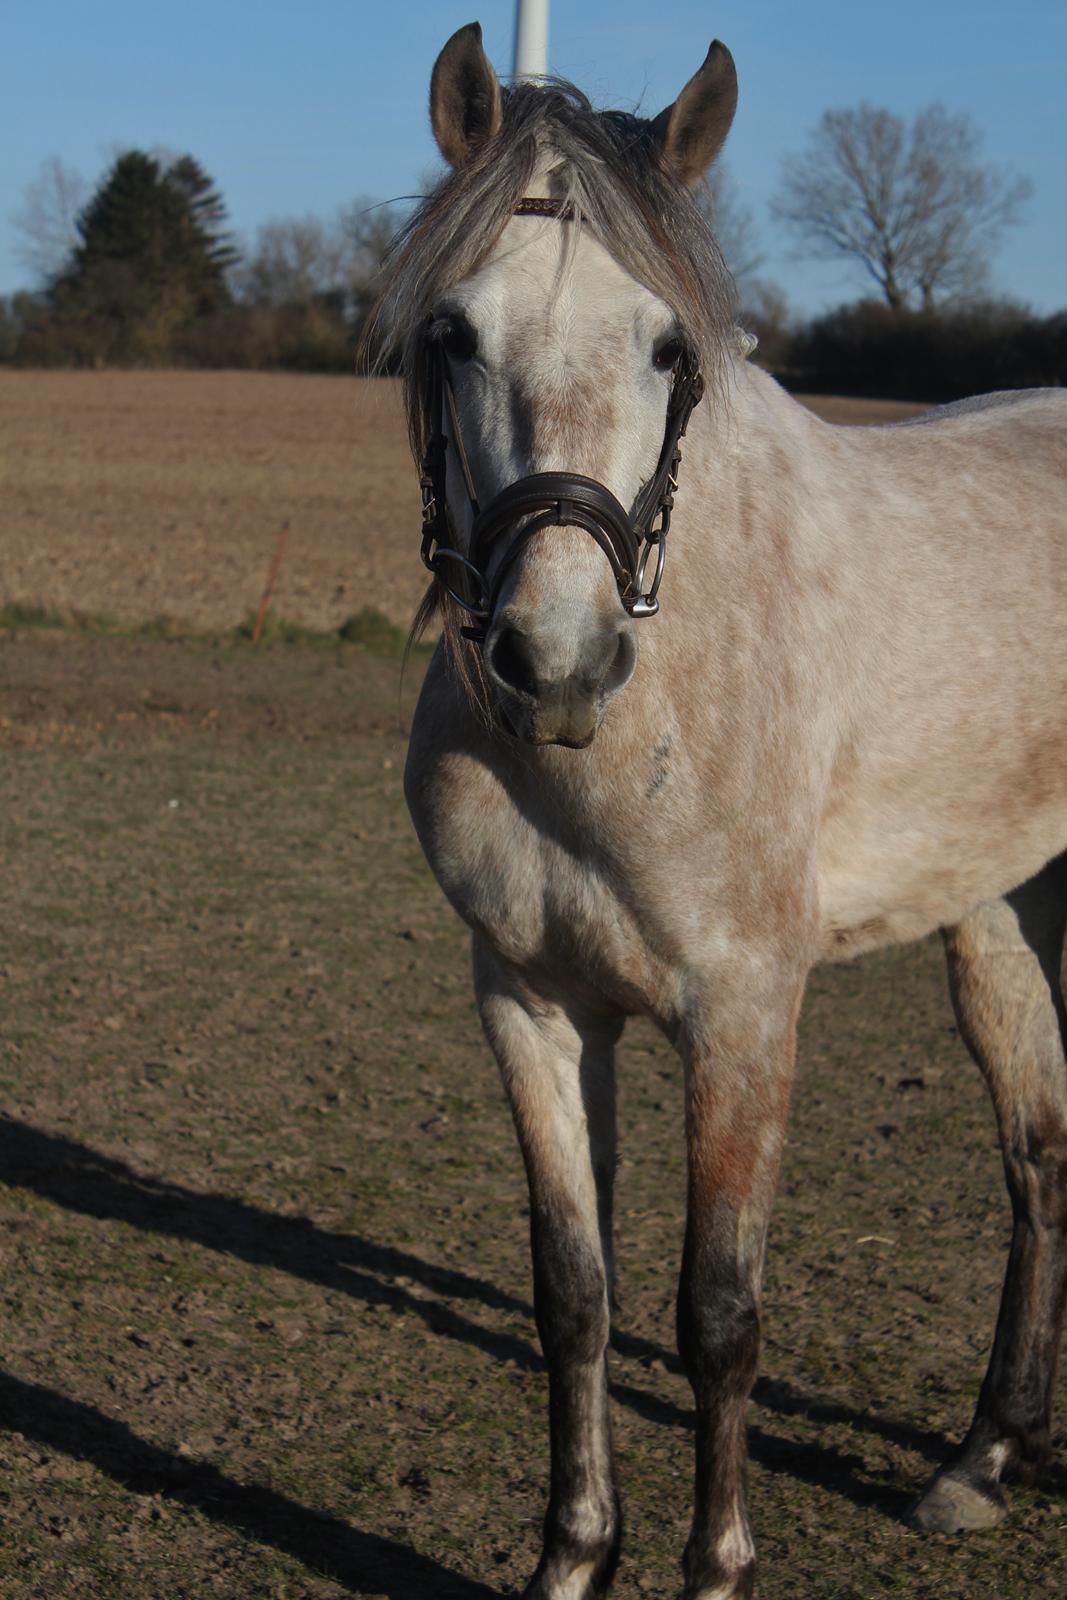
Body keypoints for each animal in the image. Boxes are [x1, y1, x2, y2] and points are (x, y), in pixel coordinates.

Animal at [379, 25, 1062, 1600]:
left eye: (666, 348)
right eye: (452, 336)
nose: (555, 658)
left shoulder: (742, 1009)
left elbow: (717, 1315)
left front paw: (713, 1565)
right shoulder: (528, 999)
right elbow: (574, 1291)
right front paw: (573, 1557)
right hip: (998, 915)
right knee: (1036, 1156)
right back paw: (983, 1456)